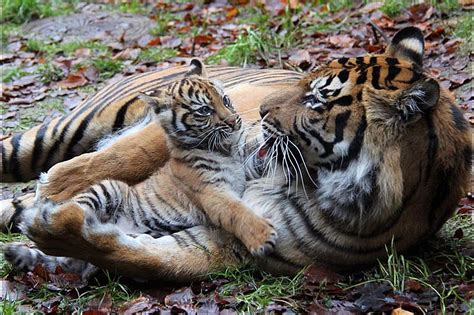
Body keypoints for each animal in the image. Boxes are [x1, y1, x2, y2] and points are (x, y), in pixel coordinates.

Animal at [0, 27, 470, 278]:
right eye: (304, 79)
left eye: (316, 99)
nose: (259, 113)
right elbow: (126, 158)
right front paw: (53, 197)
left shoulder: (226, 243)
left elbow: (150, 260)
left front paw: (48, 228)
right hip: (65, 130)